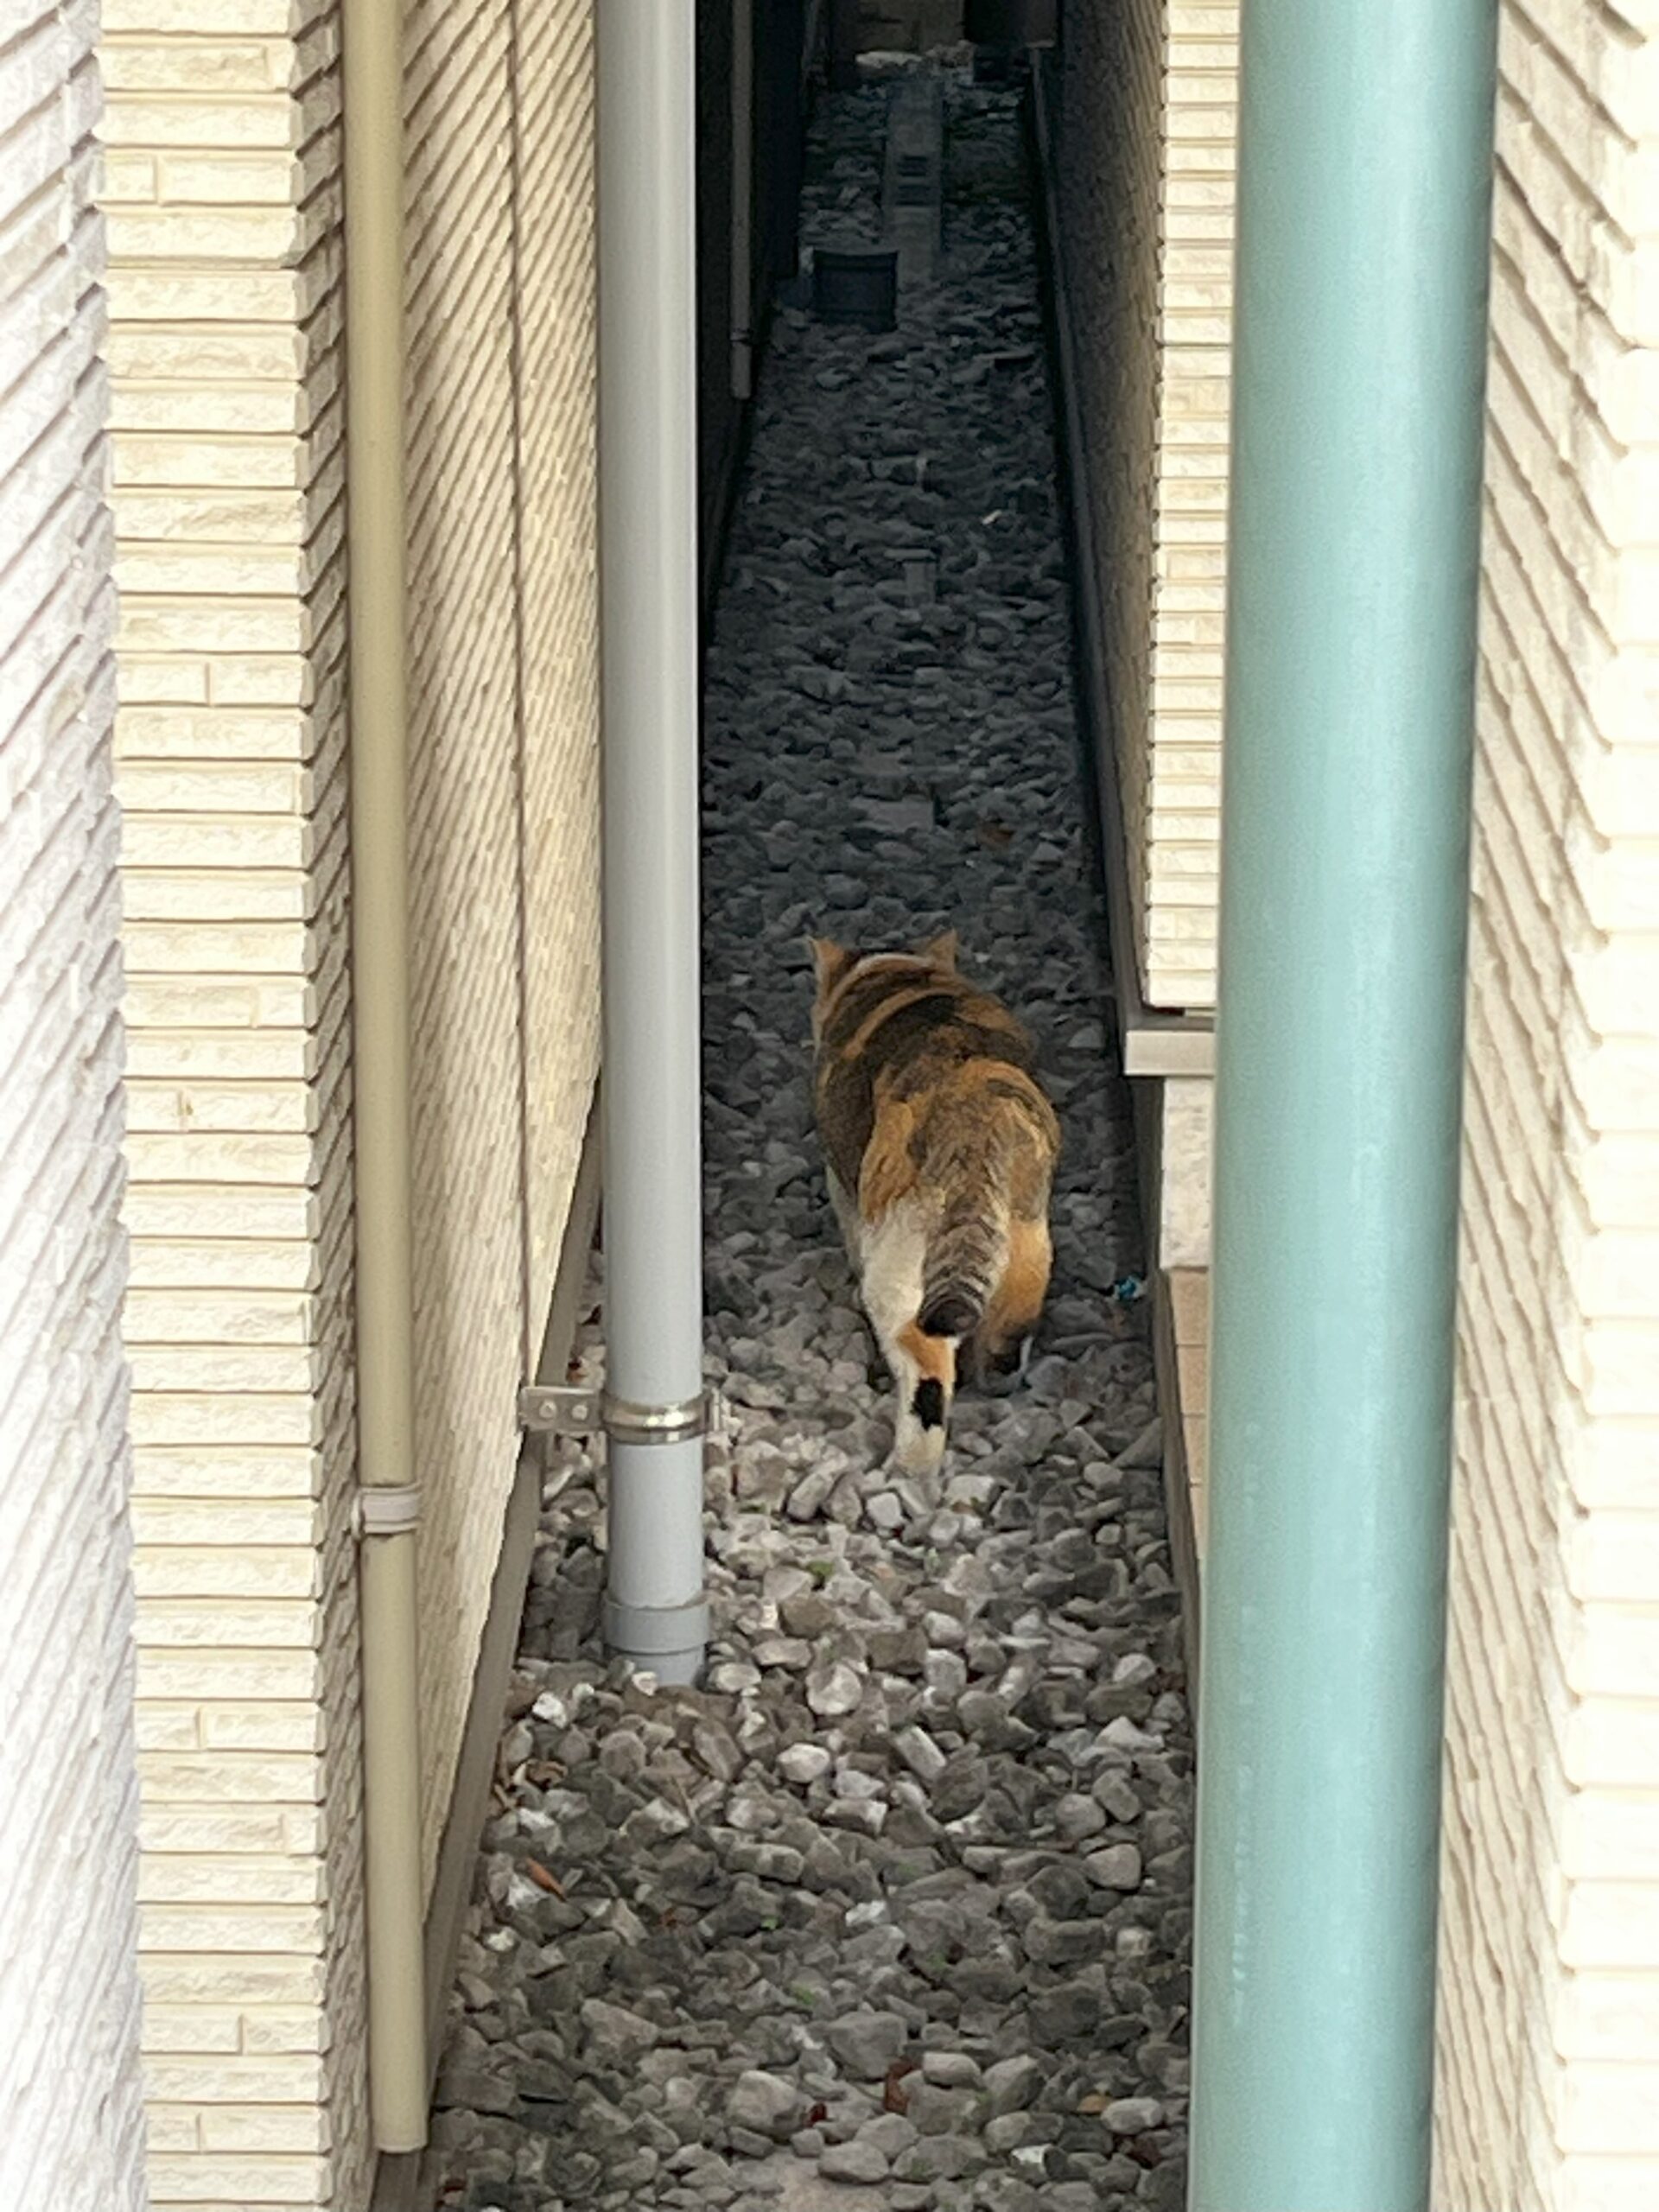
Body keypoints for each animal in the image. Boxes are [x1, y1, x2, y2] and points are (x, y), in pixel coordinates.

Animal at [809, 929, 1065, 1468]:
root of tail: (974, 1123)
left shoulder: (843, 1184)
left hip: (899, 1266)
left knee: (927, 1369)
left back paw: (908, 1468)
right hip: (1028, 1249)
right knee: (1006, 1341)